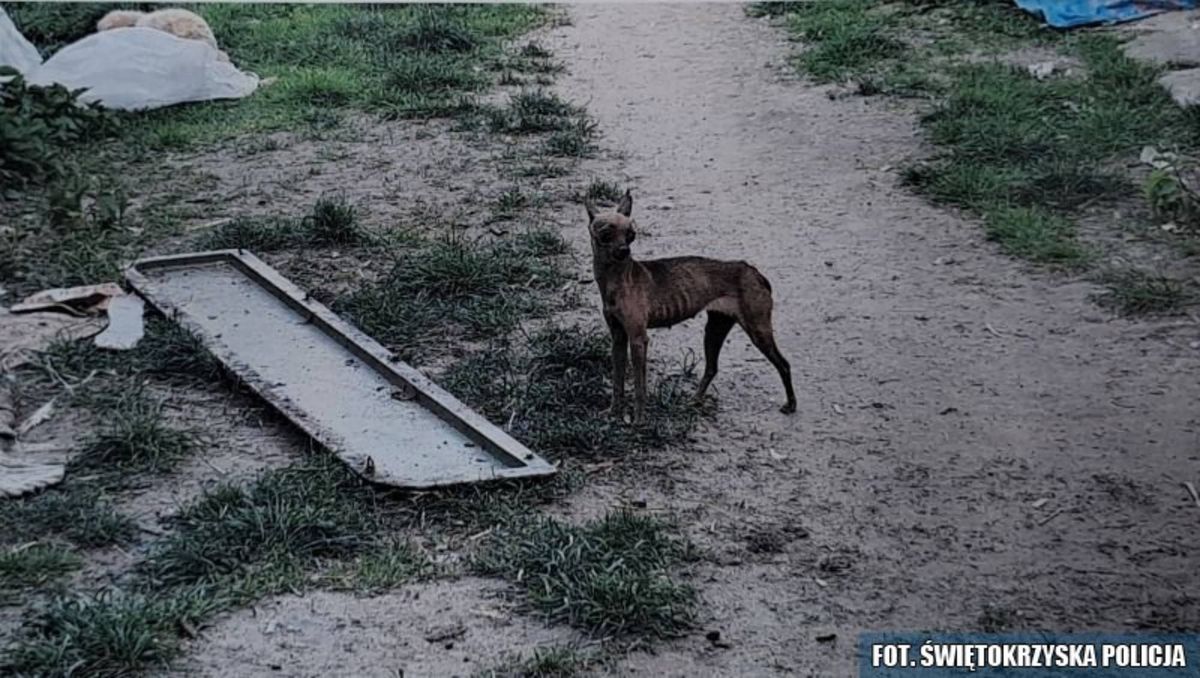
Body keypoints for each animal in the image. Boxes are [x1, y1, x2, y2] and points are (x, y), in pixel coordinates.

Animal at [588, 190, 796, 420]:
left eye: (631, 234)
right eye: (606, 234)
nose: (624, 250)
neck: (616, 278)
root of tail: (755, 272)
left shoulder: (638, 339)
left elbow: (640, 387)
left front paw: (639, 420)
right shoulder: (618, 338)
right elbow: (617, 381)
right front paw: (614, 412)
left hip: (758, 331)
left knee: (784, 364)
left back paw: (791, 404)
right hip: (714, 330)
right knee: (712, 368)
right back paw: (694, 401)